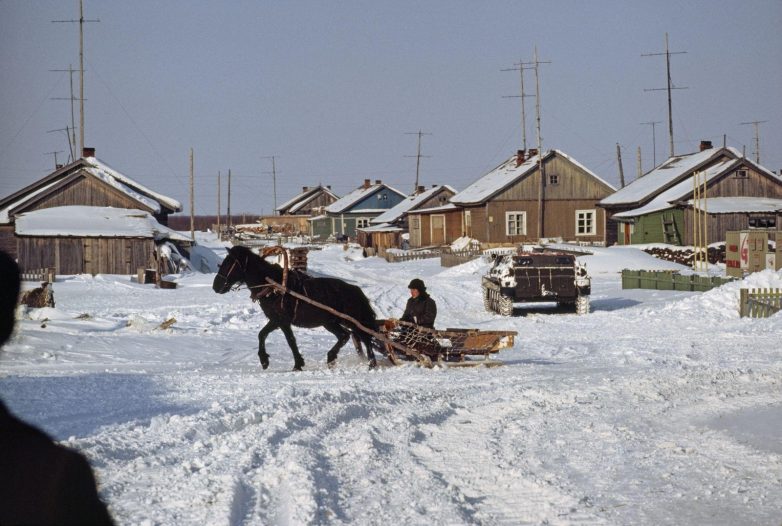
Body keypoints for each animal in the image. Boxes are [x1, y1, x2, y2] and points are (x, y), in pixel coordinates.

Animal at [211, 246, 376, 372]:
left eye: (228, 264)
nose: (215, 286)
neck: (273, 286)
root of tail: (355, 290)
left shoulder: (282, 321)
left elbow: (290, 341)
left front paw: (297, 364)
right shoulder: (275, 320)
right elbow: (262, 335)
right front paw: (264, 360)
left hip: (352, 320)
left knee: (365, 338)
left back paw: (371, 364)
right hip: (330, 322)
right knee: (345, 336)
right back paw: (332, 358)